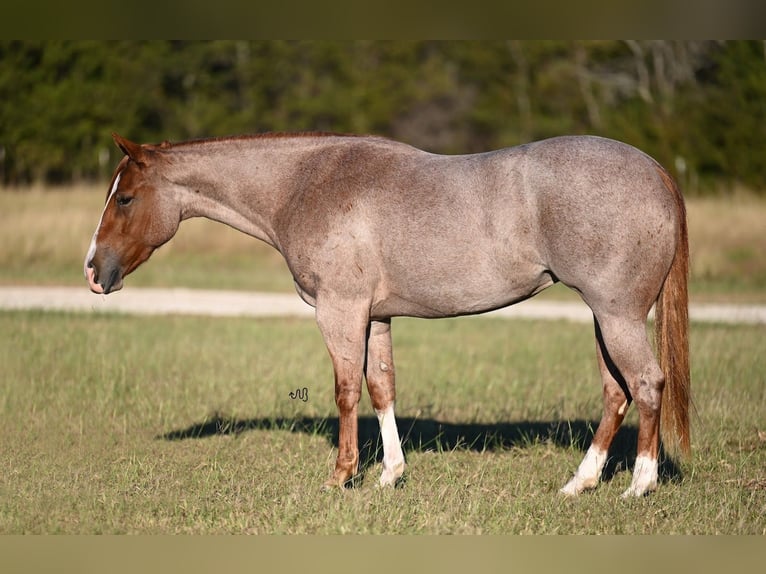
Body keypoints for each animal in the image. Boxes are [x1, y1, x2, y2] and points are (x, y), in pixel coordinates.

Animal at [84, 132, 688, 500]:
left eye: (125, 198)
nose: (93, 270)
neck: (305, 184)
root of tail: (655, 169)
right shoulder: (374, 317)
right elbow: (381, 387)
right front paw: (390, 475)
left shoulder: (340, 310)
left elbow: (347, 389)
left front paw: (341, 476)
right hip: (603, 318)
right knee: (616, 392)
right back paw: (580, 483)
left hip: (616, 314)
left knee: (646, 383)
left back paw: (640, 485)